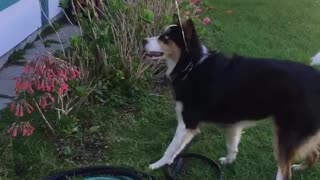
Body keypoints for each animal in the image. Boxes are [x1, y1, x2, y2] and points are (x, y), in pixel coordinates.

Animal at [143, 14, 320, 180]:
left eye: (166, 38)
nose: (144, 40)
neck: (192, 65)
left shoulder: (187, 123)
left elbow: (171, 149)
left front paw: (156, 165)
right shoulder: (232, 125)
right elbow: (232, 147)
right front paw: (228, 162)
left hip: (285, 136)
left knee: (285, 171)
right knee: (314, 152)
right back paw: (300, 167)